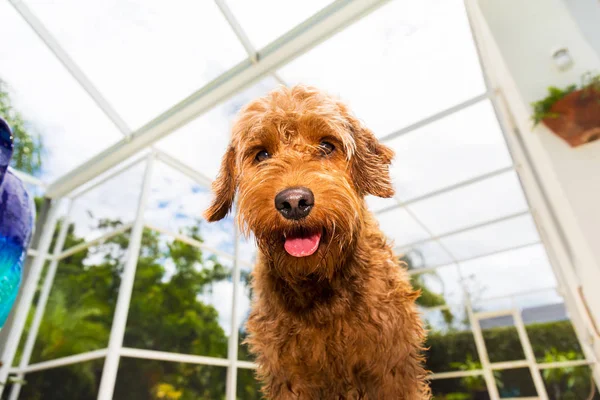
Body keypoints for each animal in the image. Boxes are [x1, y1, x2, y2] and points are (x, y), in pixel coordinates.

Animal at [206, 86, 432, 398]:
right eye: (262, 154)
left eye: (326, 145)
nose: (294, 202)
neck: (320, 289)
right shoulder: (287, 373)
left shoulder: (393, 365)